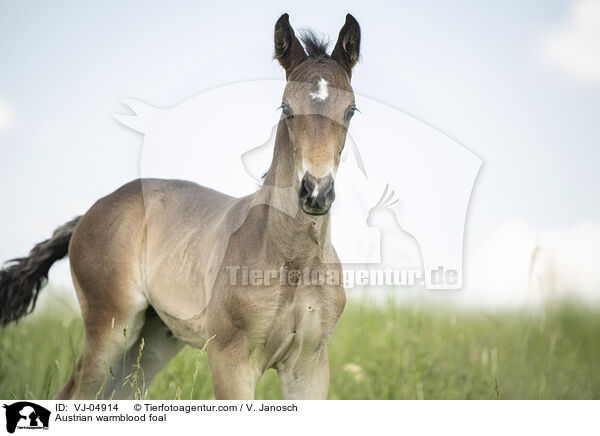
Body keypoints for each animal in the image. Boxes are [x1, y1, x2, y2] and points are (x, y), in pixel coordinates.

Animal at [0, 13, 360, 400]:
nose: (316, 193)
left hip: (151, 341)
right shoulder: (231, 362)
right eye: (286, 109)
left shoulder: (309, 365)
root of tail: (93, 210)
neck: (291, 260)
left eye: (350, 111)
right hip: (108, 327)